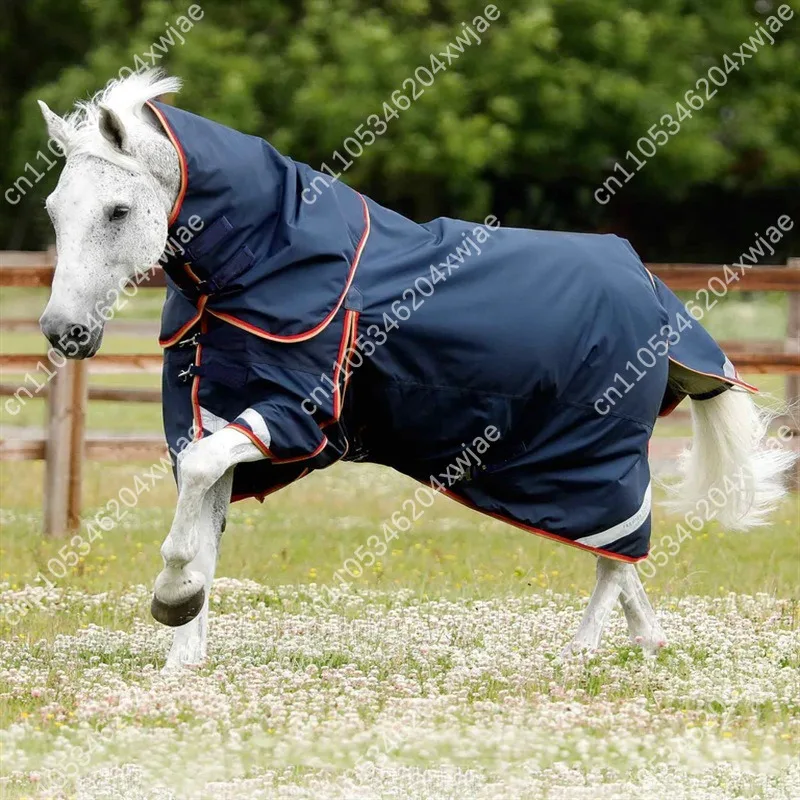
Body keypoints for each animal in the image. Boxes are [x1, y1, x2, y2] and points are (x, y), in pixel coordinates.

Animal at [37, 70, 793, 670]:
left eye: (118, 210)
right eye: (53, 210)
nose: (62, 330)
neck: (263, 259)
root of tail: (653, 291)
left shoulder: (291, 414)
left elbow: (197, 488)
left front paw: (172, 599)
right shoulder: (221, 410)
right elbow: (204, 517)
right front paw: (182, 652)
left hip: (593, 458)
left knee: (617, 552)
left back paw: (578, 651)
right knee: (621, 554)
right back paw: (646, 641)